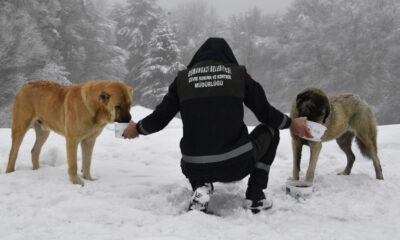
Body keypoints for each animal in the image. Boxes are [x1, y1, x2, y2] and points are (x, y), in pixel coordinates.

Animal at [5, 80, 133, 186]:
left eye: (129, 104)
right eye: (118, 106)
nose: (129, 120)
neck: (95, 108)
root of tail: (25, 85)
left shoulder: (89, 140)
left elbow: (87, 162)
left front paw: (89, 179)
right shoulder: (72, 139)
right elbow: (73, 164)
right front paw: (76, 182)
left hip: (43, 132)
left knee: (34, 151)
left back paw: (37, 171)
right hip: (20, 127)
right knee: (13, 153)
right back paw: (9, 173)